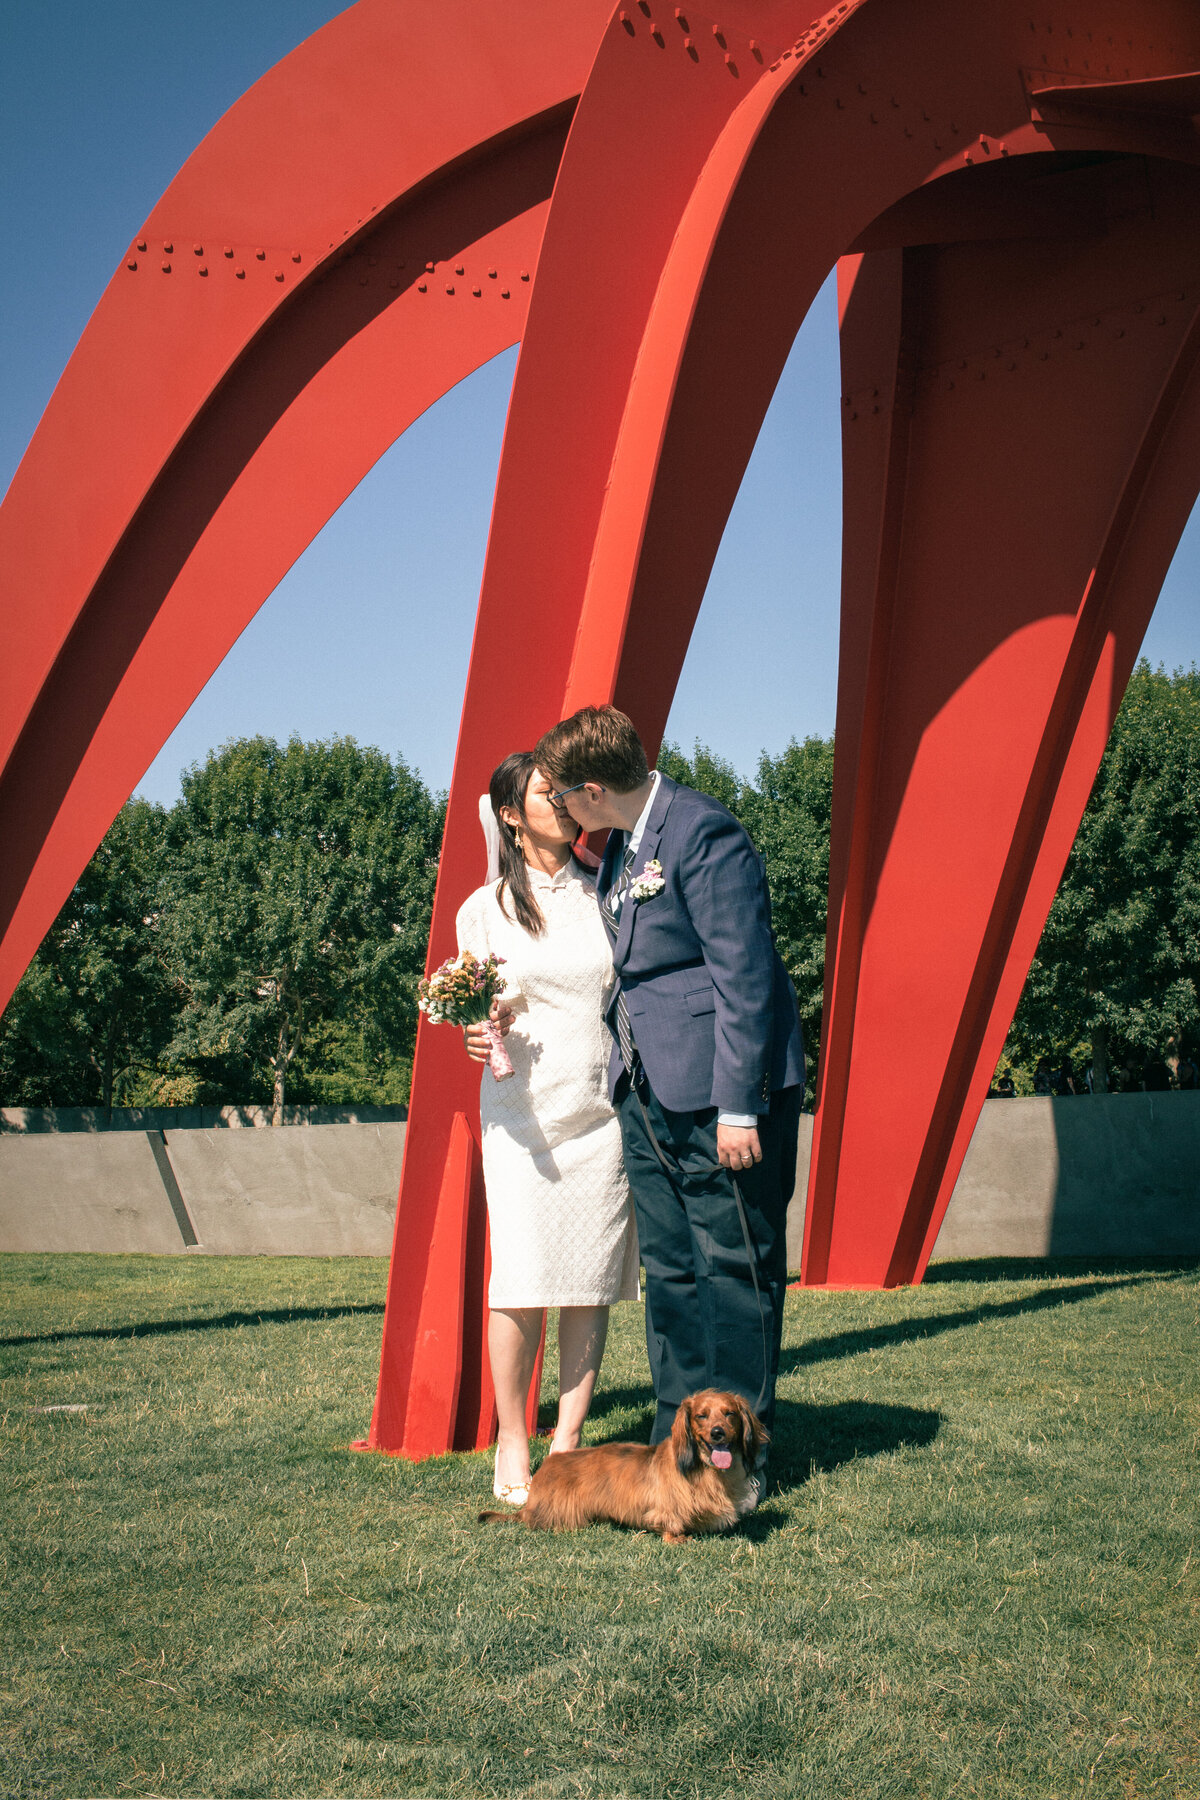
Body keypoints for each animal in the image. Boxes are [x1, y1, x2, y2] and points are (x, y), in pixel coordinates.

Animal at [478, 1389, 770, 1548]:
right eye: (701, 1415)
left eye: (730, 1413)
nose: (718, 1433)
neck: (704, 1470)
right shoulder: (663, 1511)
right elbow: (670, 1525)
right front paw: (678, 1538)